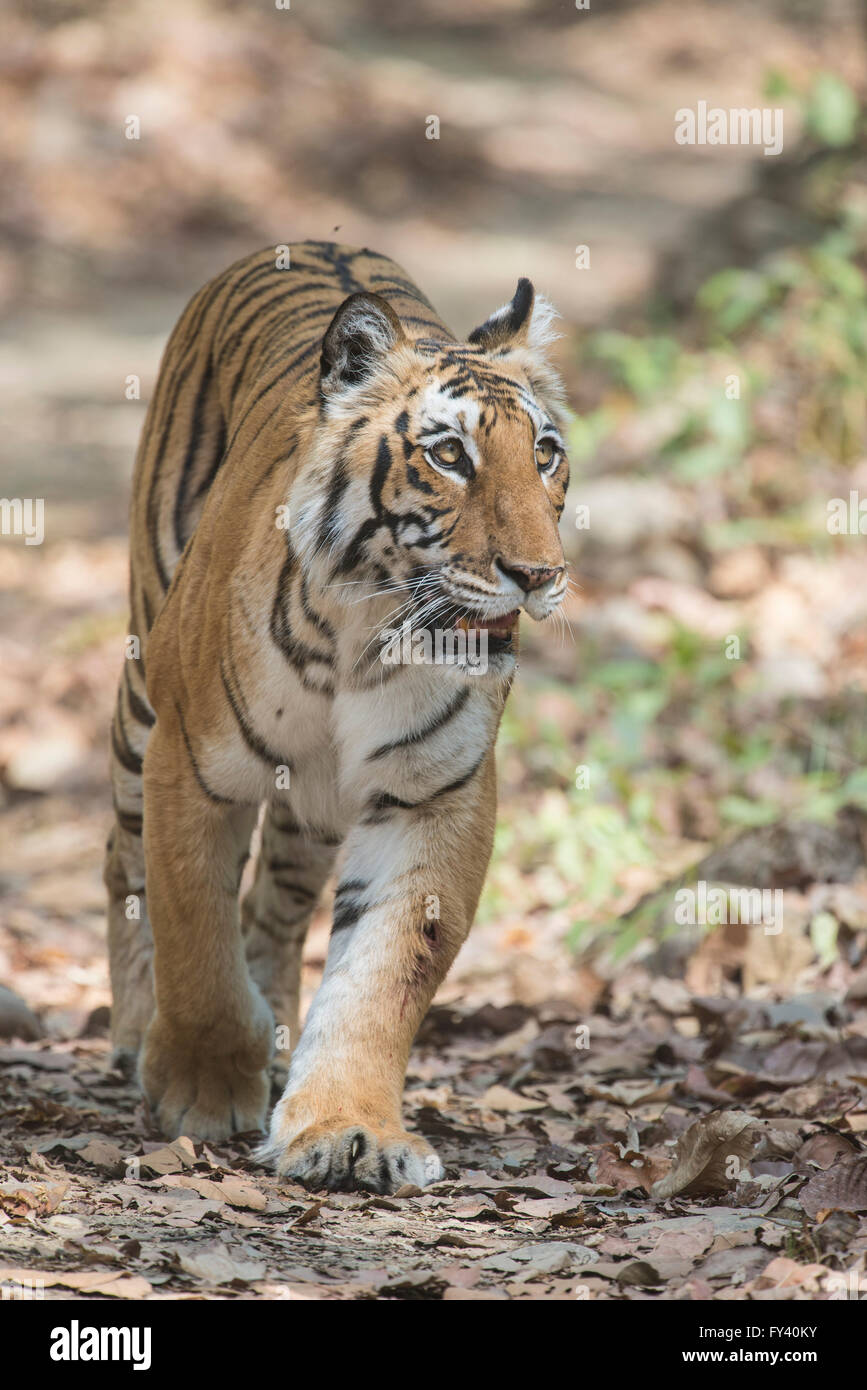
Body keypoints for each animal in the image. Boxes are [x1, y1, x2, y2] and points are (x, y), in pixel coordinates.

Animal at [106, 241, 569, 1195]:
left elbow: (385, 972)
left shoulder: (433, 795)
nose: (539, 574)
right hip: (140, 701)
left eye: (544, 455)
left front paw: (346, 1128)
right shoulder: (190, 762)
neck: (370, 629)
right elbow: (193, 933)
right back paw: (136, 1035)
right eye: (449, 455)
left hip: (311, 808)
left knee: (276, 910)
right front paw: (203, 1091)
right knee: (122, 869)